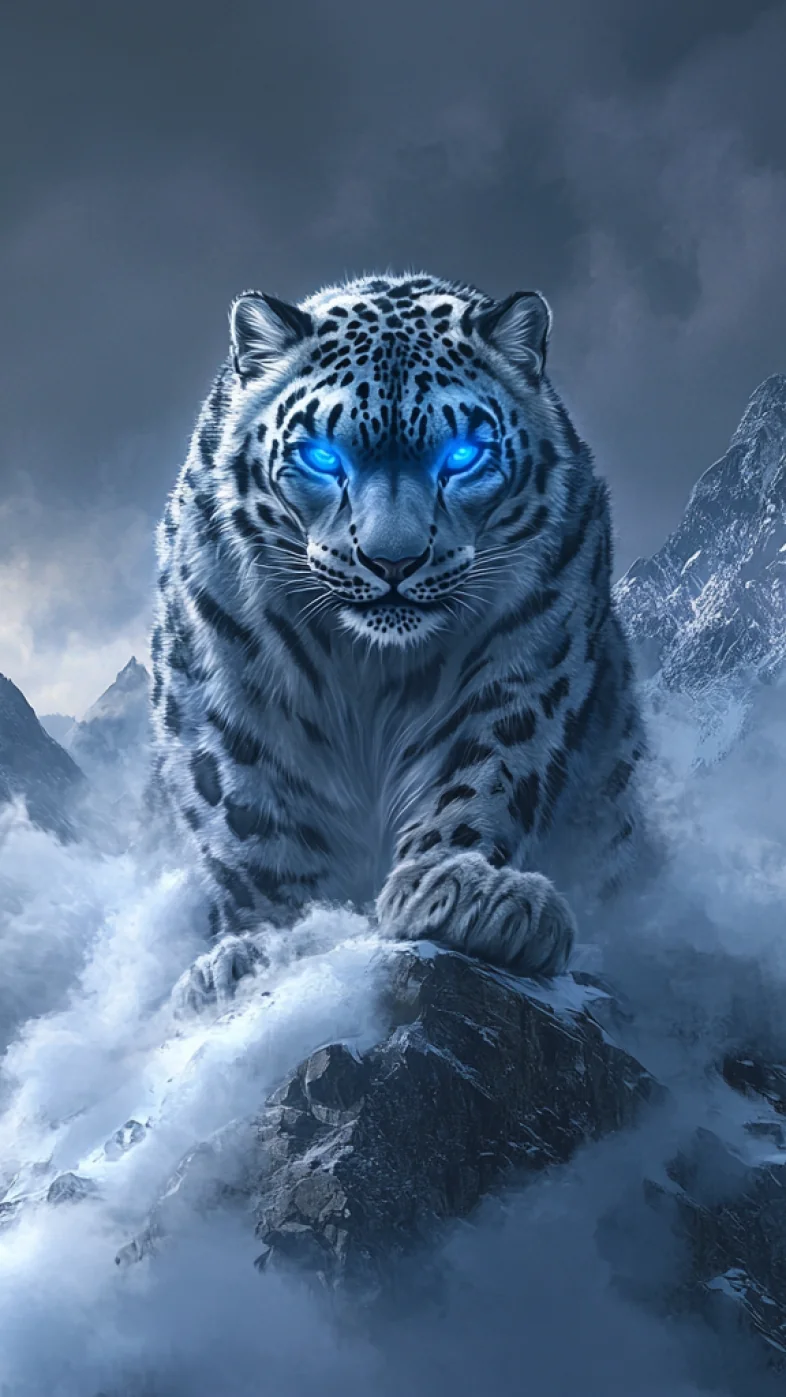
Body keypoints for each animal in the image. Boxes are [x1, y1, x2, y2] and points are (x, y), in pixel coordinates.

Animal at [150, 271, 648, 1009]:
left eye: (463, 455)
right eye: (321, 455)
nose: (393, 561)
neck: (368, 670)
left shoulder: (527, 654)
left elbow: (487, 765)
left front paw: (465, 891)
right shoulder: (225, 688)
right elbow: (253, 824)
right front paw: (271, 949)